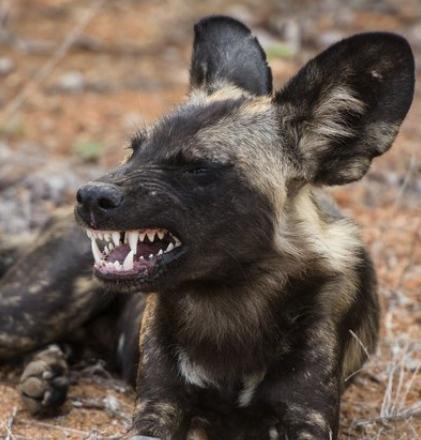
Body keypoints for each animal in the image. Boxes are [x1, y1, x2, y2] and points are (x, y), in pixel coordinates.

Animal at [0, 15, 414, 438]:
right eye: (134, 151)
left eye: (197, 167)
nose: (88, 196)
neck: (229, 304)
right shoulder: (158, 406)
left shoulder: (307, 418)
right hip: (27, 315)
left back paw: (47, 373)